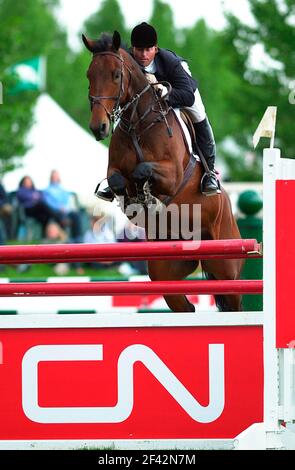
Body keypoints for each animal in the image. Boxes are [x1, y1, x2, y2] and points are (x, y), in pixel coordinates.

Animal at [83, 31, 245, 314]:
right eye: (89, 75)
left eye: (116, 75)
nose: (98, 128)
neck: (138, 122)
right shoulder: (114, 170)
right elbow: (118, 180)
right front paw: (135, 200)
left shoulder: (172, 176)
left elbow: (142, 171)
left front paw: (147, 197)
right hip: (166, 269)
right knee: (183, 304)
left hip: (226, 267)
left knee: (234, 302)